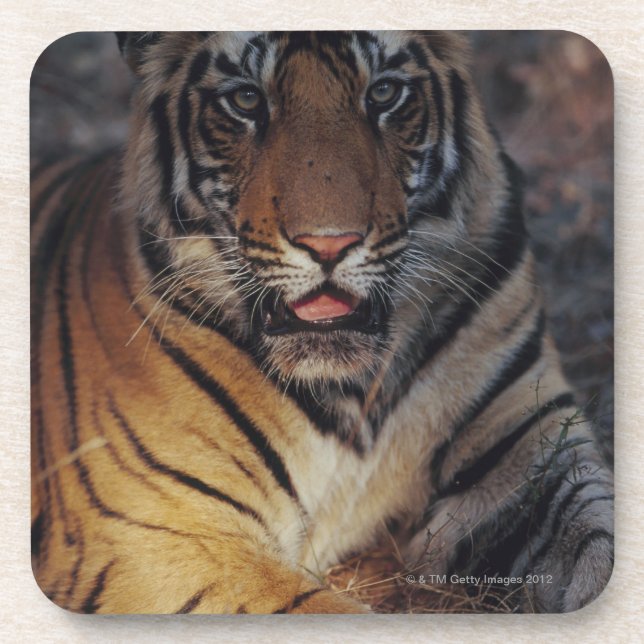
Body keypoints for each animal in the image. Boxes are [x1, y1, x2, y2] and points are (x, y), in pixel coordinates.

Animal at [31, 30, 614, 614]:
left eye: (384, 92)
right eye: (246, 99)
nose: (328, 244)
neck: (357, 393)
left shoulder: (530, 453)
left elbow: (600, 543)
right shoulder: (159, 530)